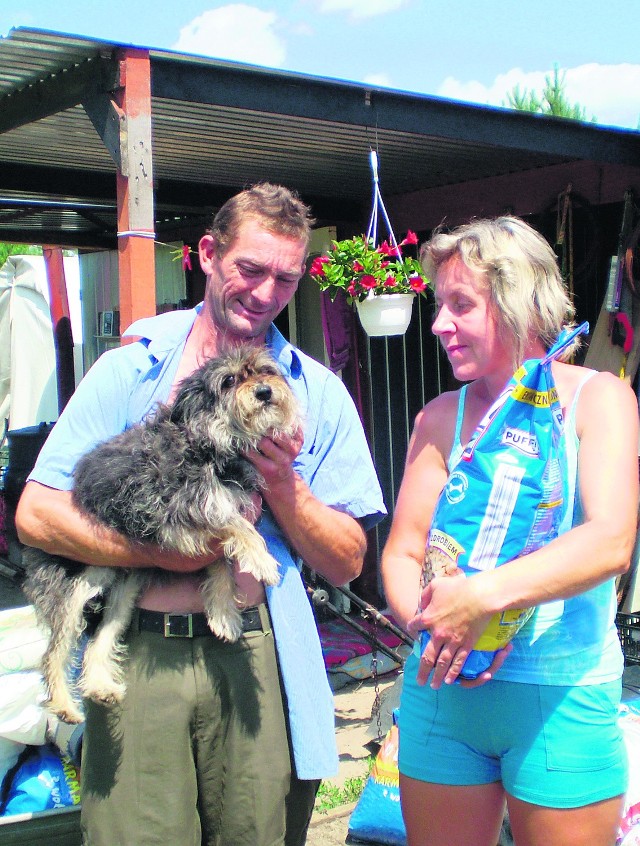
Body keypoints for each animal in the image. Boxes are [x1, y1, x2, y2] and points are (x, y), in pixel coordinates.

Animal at [24, 344, 302, 724]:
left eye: (265, 371)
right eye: (229, 381)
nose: (264, 391)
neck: (210, 442)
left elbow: (220, 563)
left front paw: (223, 614)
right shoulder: (173, 509)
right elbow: (234, 524)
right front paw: (261, 560)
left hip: (124, 593)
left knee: (100, 640)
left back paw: (100, 686)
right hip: (81, 582)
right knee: (55, 651)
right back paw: (65, 705)